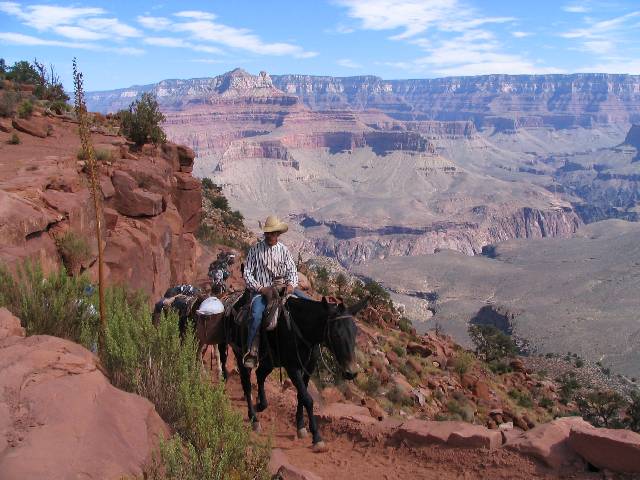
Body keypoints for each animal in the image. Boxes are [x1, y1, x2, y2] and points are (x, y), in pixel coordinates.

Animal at [220, 294, 367, 451]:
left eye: (355, 332)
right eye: (336, 334)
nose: (351, 372)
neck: (303, 330)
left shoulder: (309, 368)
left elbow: (301, 396)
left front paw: (301, 426)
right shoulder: (292, 368)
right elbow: (308, 398)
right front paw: (316, 437)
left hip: (269, 361)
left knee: (260, 375)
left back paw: (260, 404)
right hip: (240, 353)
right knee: (247, 384)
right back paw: (254, 418)